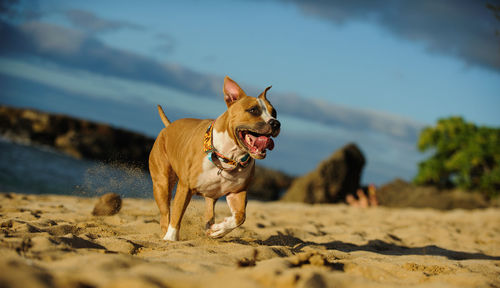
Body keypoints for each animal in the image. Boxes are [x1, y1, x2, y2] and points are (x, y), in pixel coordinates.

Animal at [148, 76, 282, 241]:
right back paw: (166, 234)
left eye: (274, 112)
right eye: (253, 110)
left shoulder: (238, 192)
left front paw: (219, 230)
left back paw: (209, 228)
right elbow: (177, 214)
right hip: (162, 184)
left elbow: (240, 217)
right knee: (165, 214)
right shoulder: (185, 188)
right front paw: (171, 238)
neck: (230, 157)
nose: (275, 123)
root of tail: (168, 126)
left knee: (209, 211)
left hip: (211, 194)